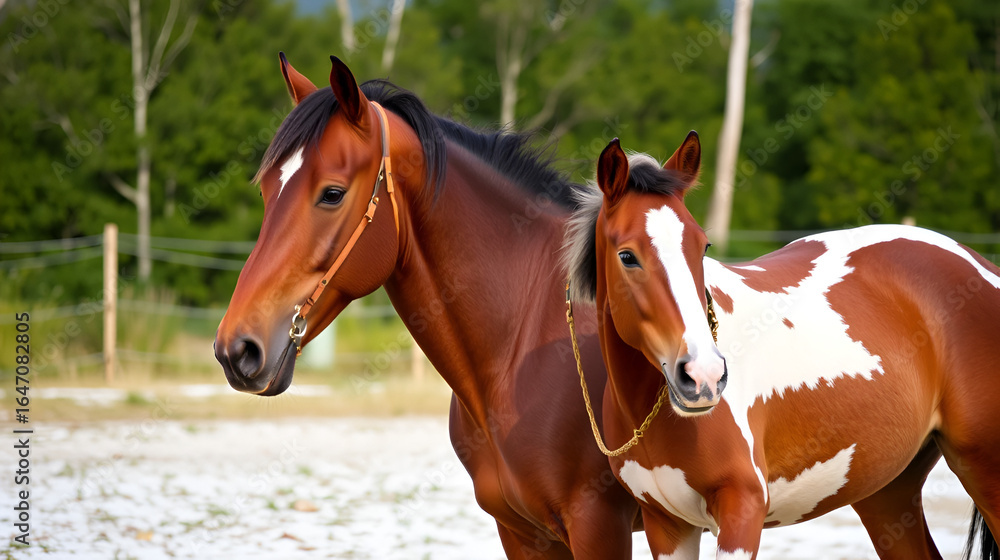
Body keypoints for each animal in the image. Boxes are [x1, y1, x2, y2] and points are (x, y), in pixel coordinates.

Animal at [564, 132, 1000, 559]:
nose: (704, 376)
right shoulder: (667, 525)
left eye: (703, 247)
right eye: (627, 256)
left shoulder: (742, 511)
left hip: (983, 471)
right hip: (888, 491)